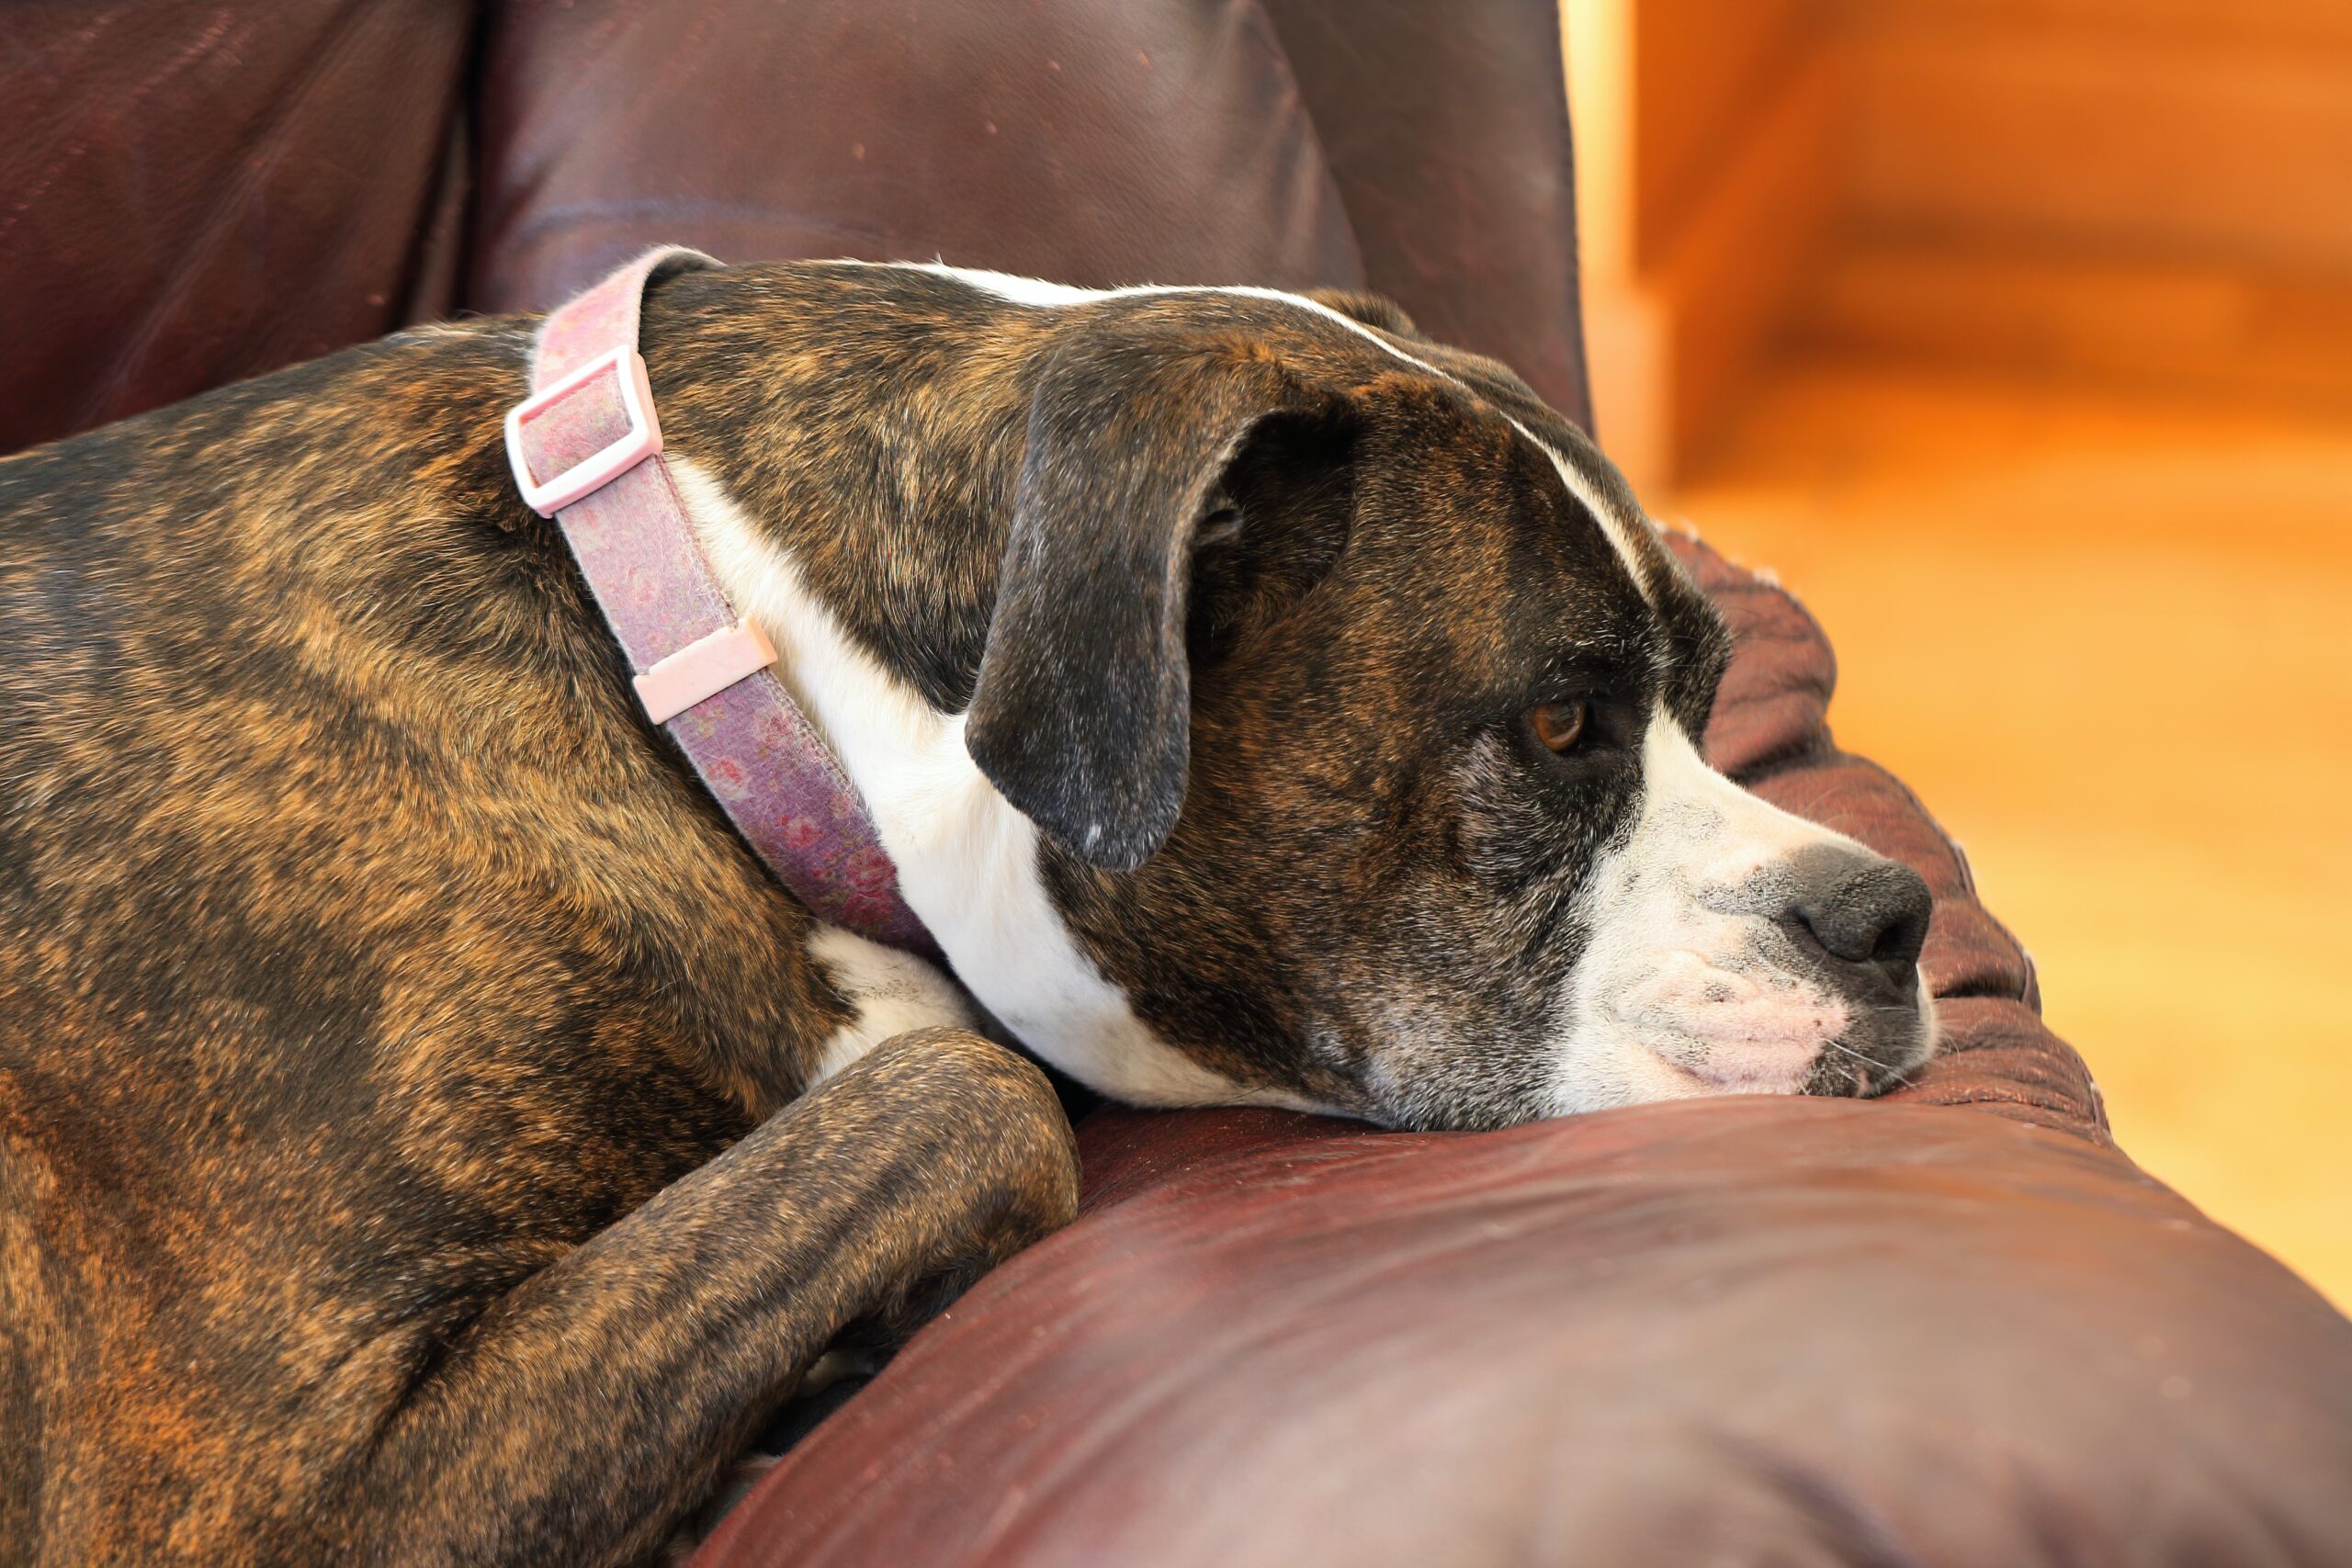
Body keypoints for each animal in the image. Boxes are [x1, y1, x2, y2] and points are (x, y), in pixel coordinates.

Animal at [0, 261, 1928, 1568]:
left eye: (1712, 687)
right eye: (1559, 723)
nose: (1890, 913)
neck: (697, 647)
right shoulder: (270, 1494)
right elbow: (958, 1085)